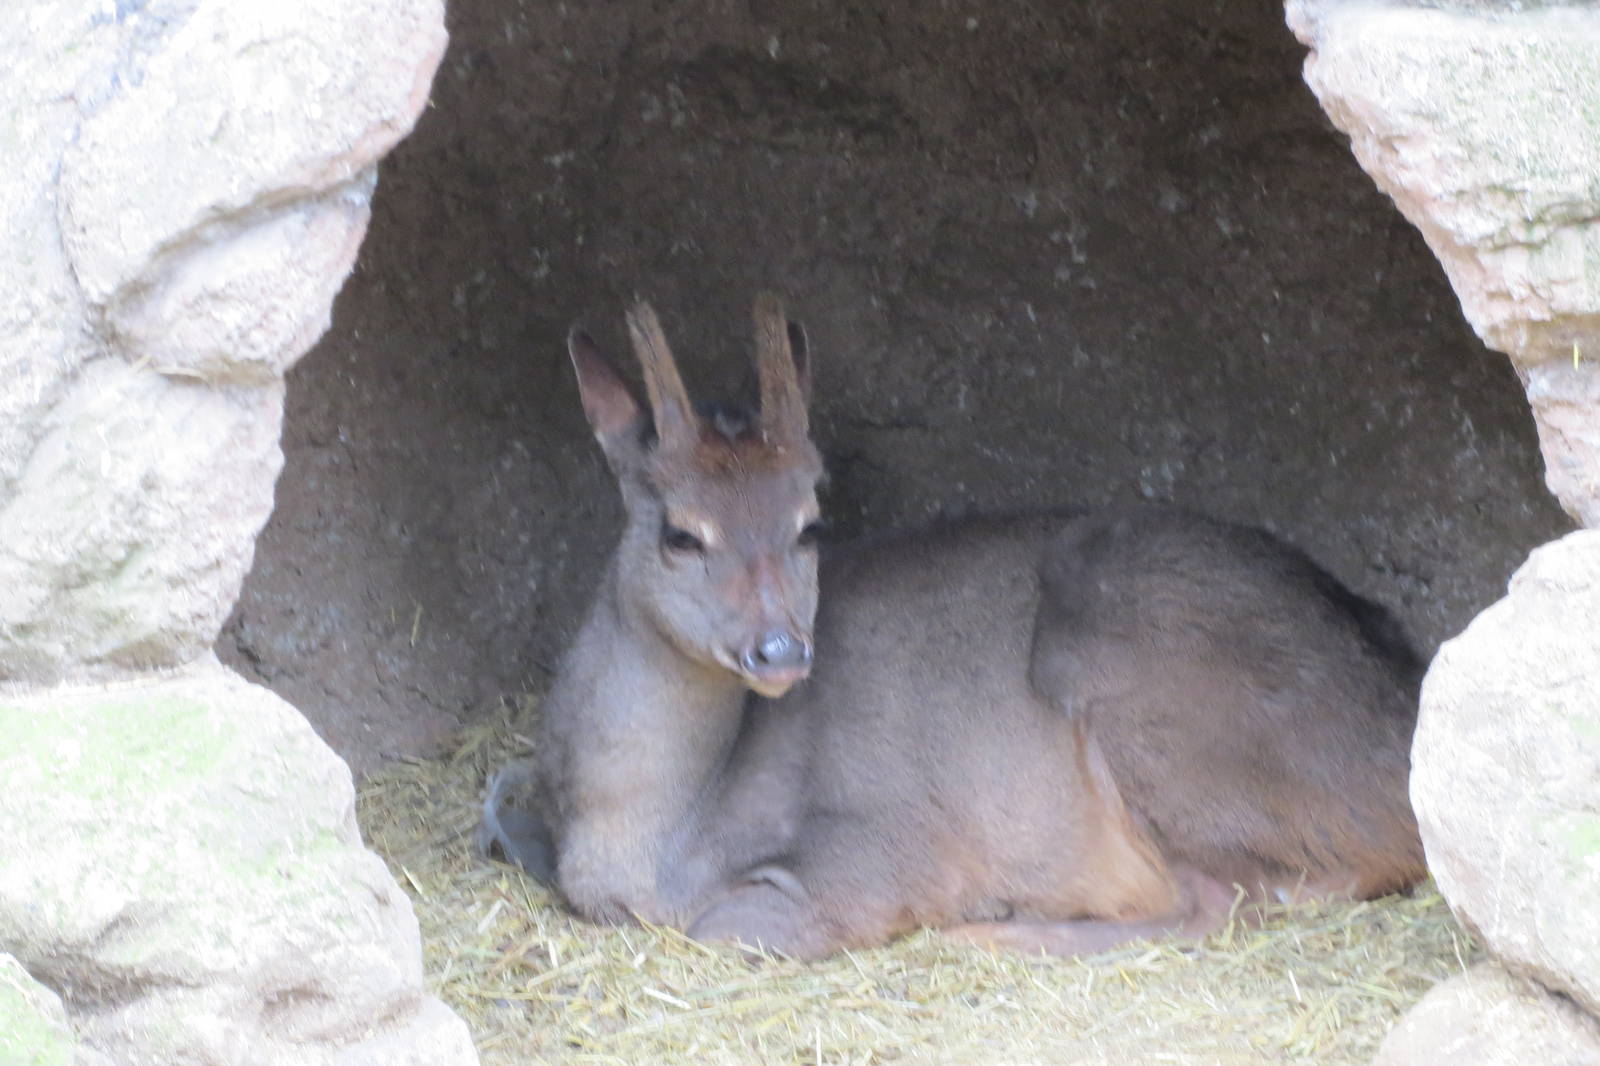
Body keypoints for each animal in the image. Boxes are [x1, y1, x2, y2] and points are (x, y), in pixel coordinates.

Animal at [476, 294, 1426, 960]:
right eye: (680, 531)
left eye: (809, 523)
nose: (780, 649)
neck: (655, 837)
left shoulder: (878, 845)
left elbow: (734, 925)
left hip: (1140, 686)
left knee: (1226, 900)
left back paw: (996, 928)